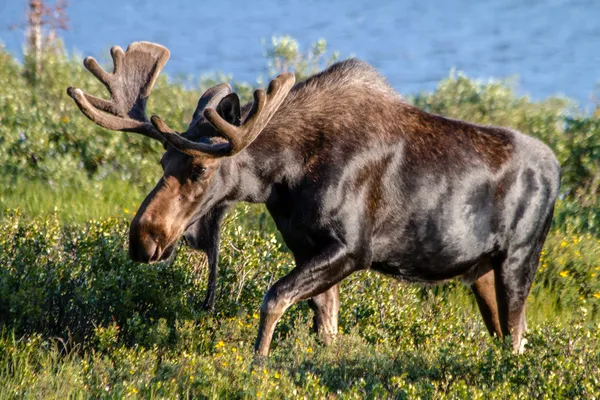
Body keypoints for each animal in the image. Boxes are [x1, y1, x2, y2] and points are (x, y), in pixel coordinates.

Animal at [67, 42, 564, 358]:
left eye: (200, 169)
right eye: (162, 160)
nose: (143, 238)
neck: (283, 177)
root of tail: (557, 170)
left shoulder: (353, 248)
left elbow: (273, 299)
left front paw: (257, 367)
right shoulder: (304, 246)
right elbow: (324, 325)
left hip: (519, 258)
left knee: (518, 337)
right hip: (480, 271)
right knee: (505, 334)